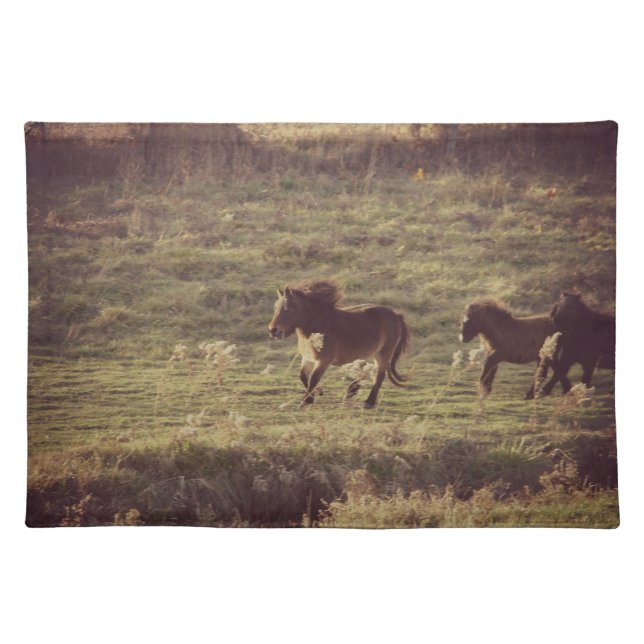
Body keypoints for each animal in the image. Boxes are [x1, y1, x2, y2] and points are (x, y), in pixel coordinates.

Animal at [268, 280, 410, 408]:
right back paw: (352, 390)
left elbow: (313, 378)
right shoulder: (307, 359)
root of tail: (396, 315)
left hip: (383, 353)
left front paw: (306, 401)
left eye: (288, 309)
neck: (319, 326)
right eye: (275, 308)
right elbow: (303, 376)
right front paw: (317, 392)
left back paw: (368, 401)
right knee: (369, 371)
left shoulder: (323, 361)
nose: (272, 330)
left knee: (379, 375)